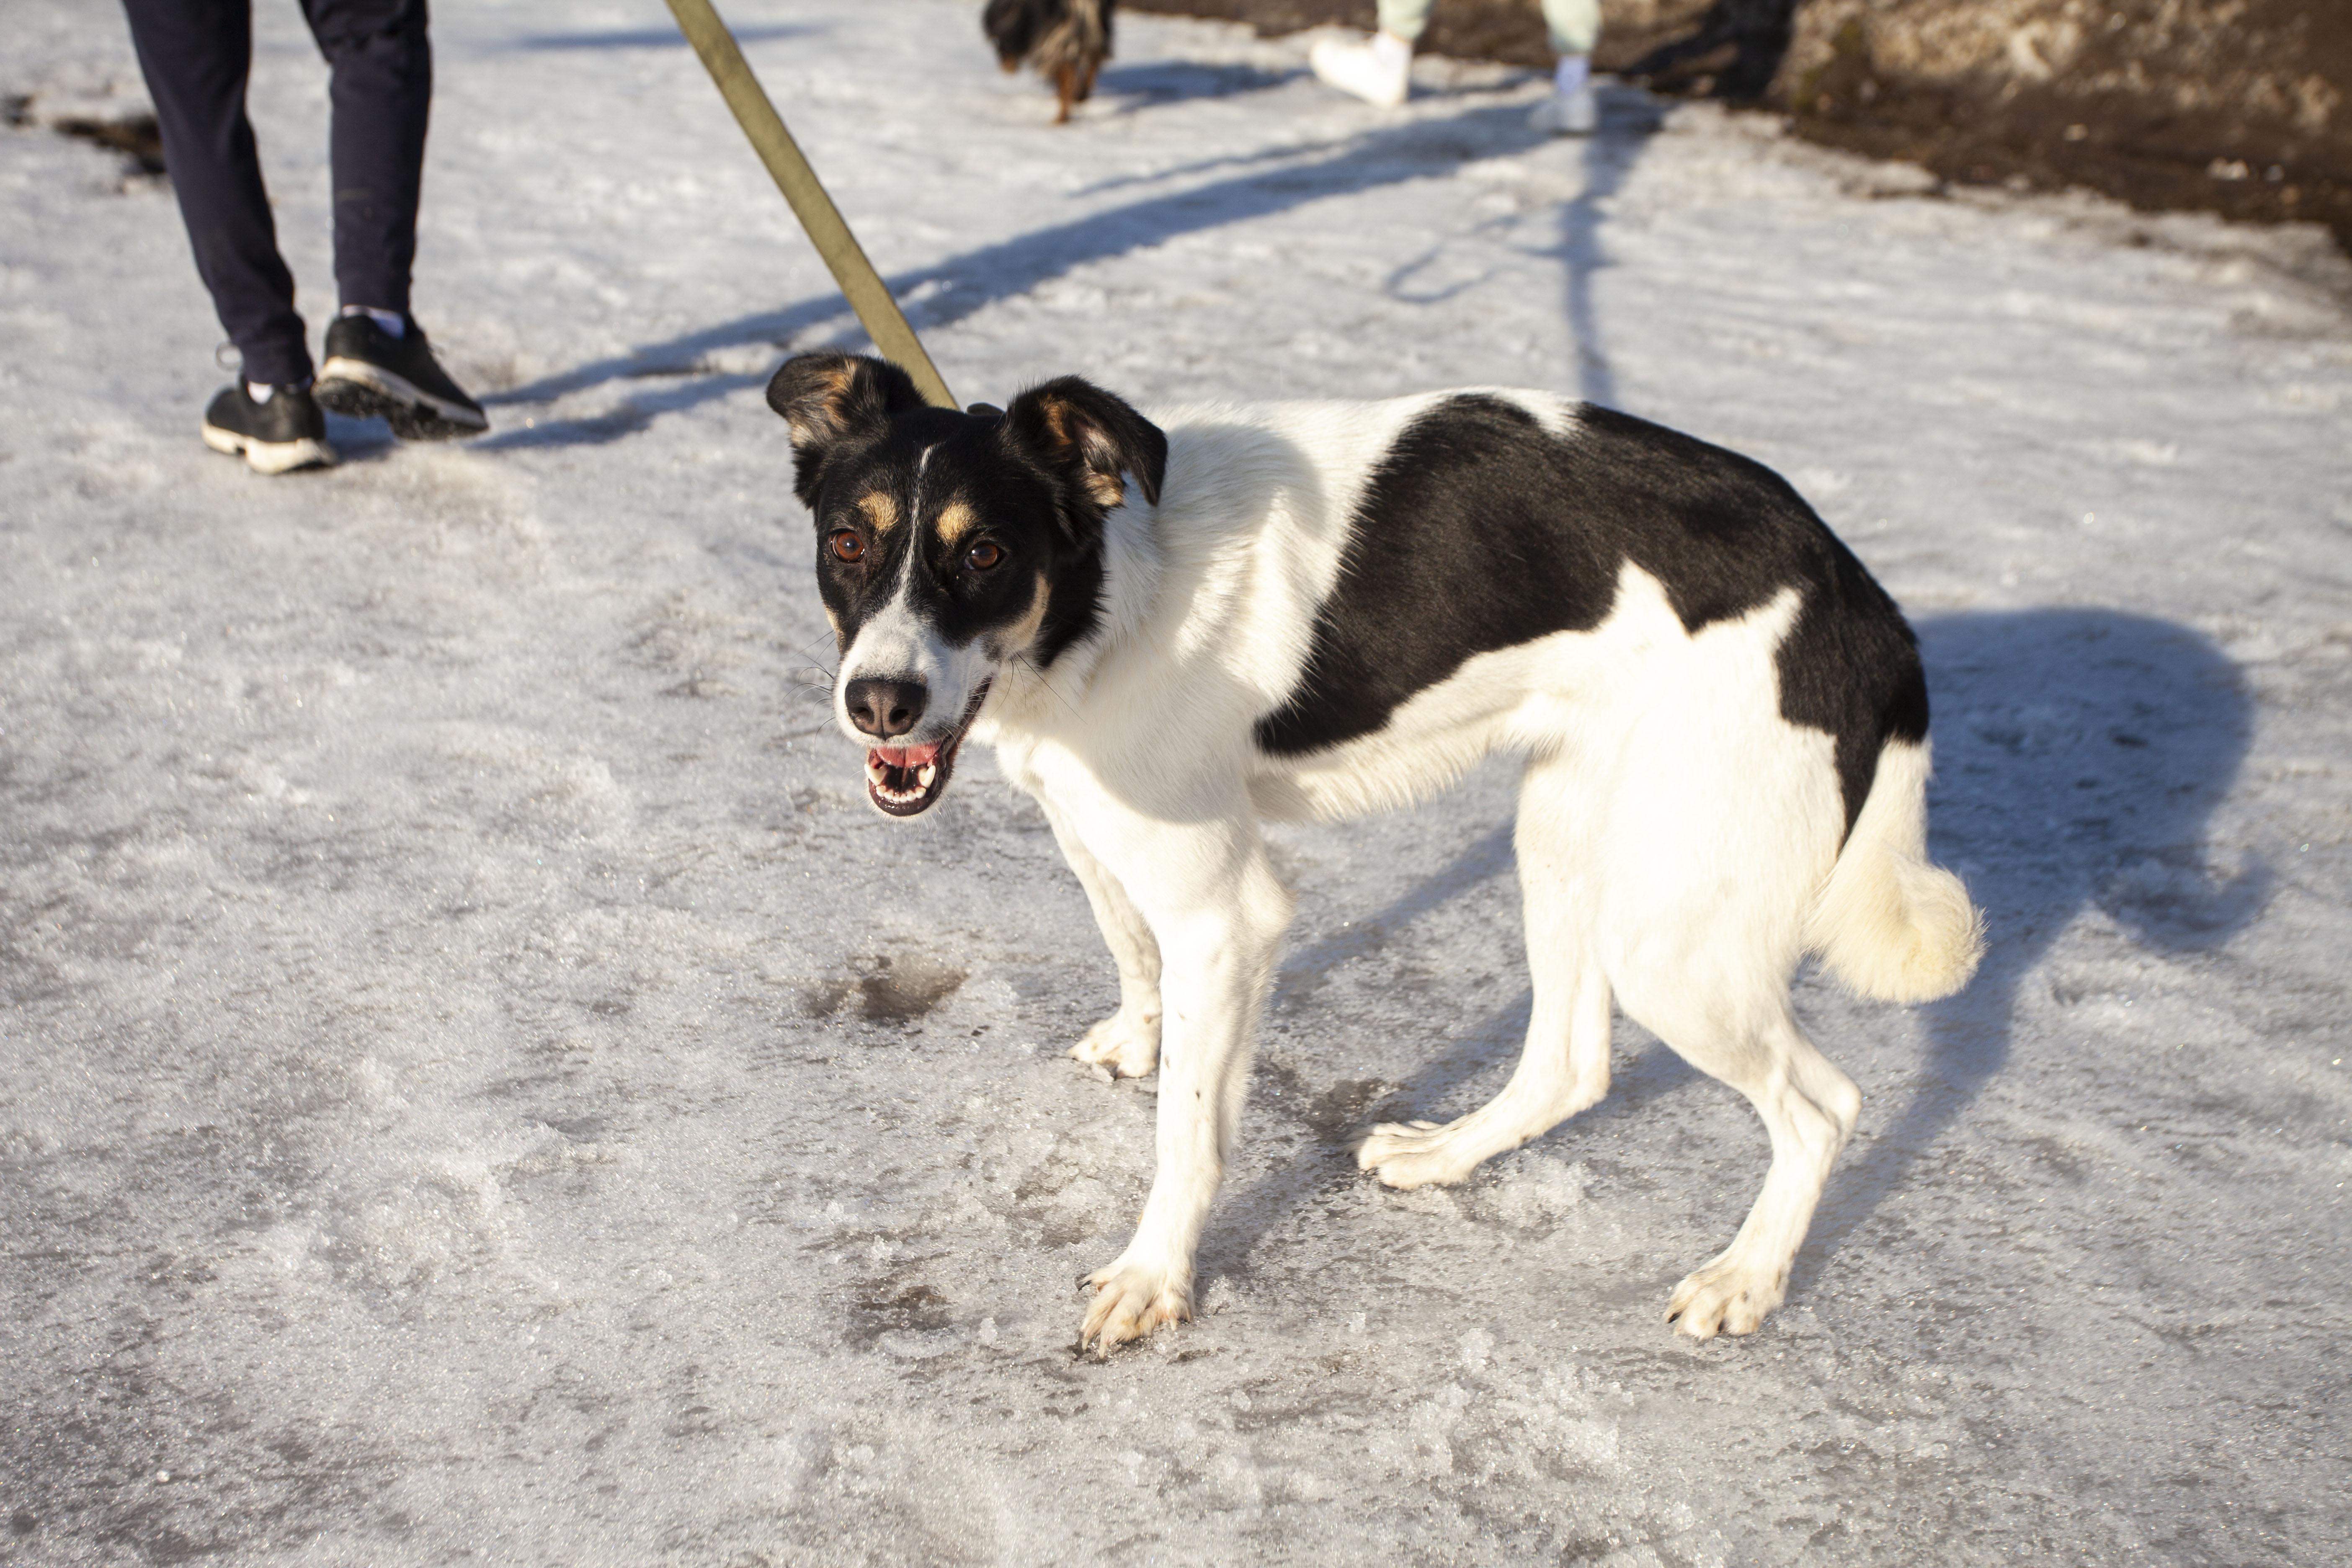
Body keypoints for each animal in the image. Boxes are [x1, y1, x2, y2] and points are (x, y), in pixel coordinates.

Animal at [771, 352, 1985, 1354]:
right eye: (848, 544)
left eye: (984, 551)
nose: (880, 704)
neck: (1112, 595)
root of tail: (1866, 610)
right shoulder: (1098, 826)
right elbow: (1129, 943)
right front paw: (1138, 1036)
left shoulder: (1230, 913)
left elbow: (1190, 1130)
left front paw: (1156, 1276)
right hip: (1566, 837)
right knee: (1572, 1061)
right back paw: (1443, 1155)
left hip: (1671, 936)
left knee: (1822, 1107)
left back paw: (1745, 1279)